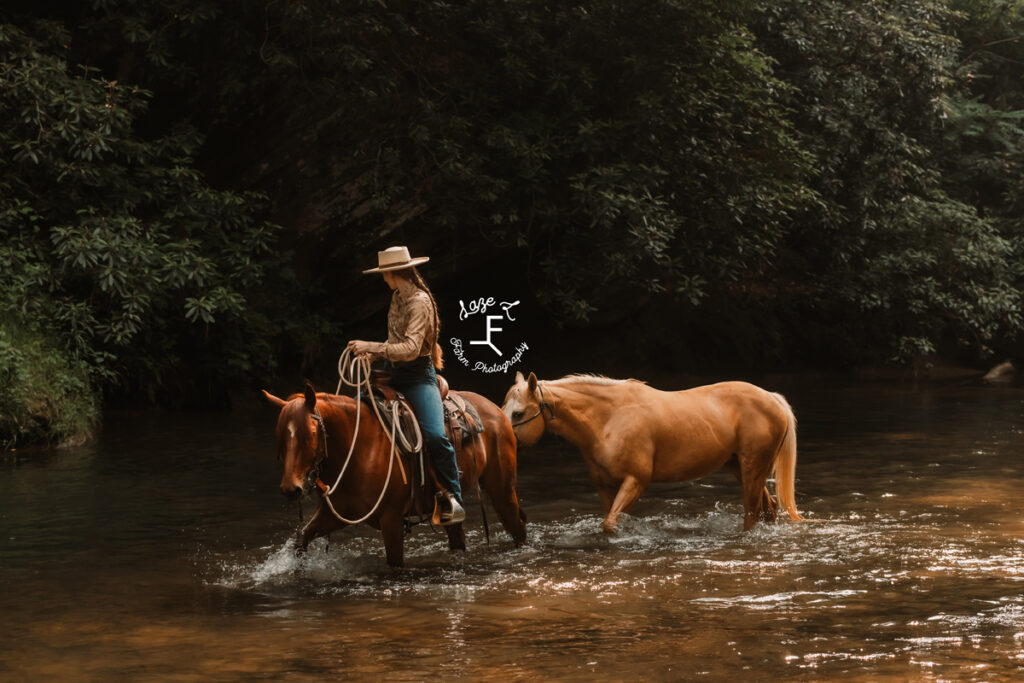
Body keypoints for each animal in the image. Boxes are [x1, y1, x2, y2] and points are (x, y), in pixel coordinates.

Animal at [262, 385, 528, 565]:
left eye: (310, 433)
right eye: (279, 435)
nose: (291, 489)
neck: (358, 448)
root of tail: (496, 410)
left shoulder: (391, 520)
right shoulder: (335, 514)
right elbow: (302, 539)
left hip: (502, 491)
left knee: (517, 526)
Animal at [499, 374, 802, 532]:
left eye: (518, 413)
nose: (502, 440)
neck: (608, 419)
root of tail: (772, 398)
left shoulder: (636, 480)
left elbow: (610, 523)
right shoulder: (606, 485)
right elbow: (611, 521)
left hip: (753, 469)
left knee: (753, 514)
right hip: (741, 468)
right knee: (769, 509)